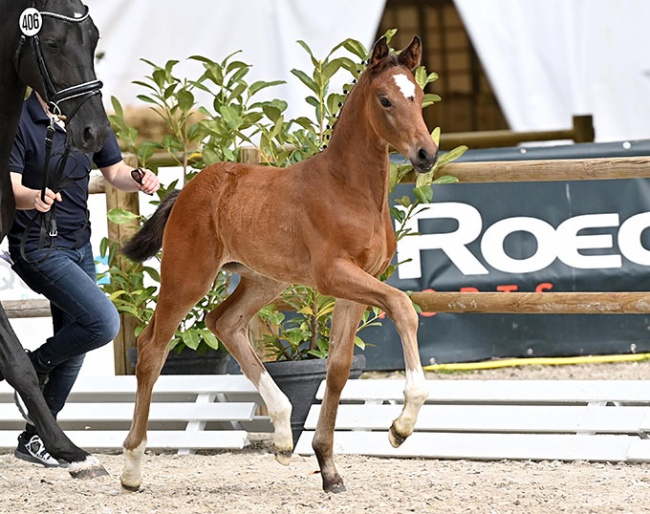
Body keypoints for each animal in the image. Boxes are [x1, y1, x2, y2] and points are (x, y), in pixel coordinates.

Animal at [121, 34, 436, 490]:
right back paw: (131, 468)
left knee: (224, 323)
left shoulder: (358, 283)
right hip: (187, 278)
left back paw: (285, 435)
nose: (426, 154)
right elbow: (402, 306)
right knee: (152, 349)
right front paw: (401, 427)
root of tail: (187, 190)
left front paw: (328, 469)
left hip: (265, 280)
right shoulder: (334, 275)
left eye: (419, 95)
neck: (350, 190)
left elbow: (338, 367)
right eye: (385, 100)